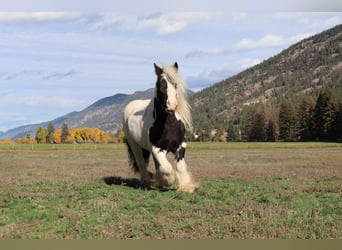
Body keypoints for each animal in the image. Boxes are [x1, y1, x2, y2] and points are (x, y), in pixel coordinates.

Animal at [122, 62, 198, 193]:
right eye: (160, 83)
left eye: (175, 84)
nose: (171, 105)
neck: (169, 125)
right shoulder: (157, 148)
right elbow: (167, 167)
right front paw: (167, 181)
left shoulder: (181, 145)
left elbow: (180, 166)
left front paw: (185, 187)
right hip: (134, 145)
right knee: (141, 163)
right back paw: (146, 183)